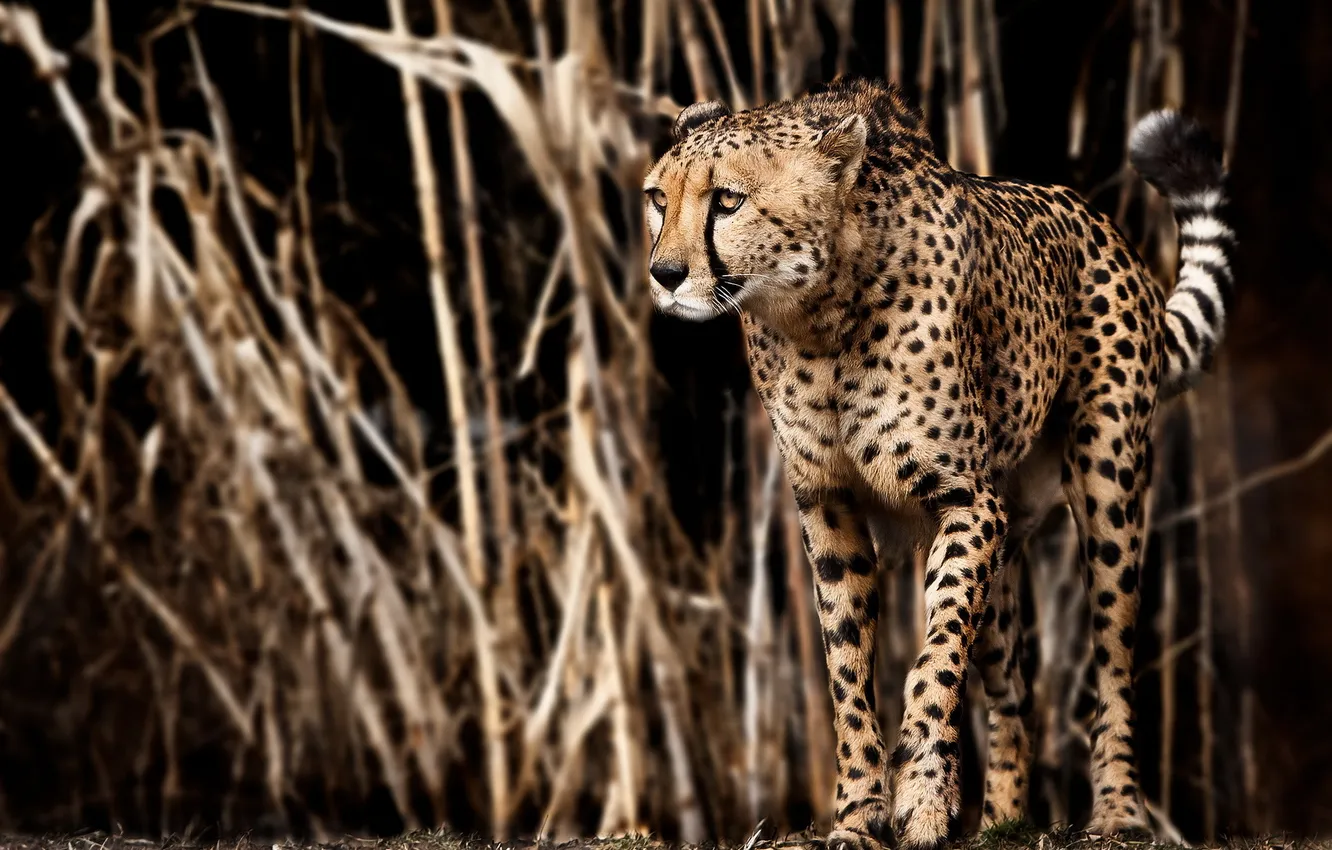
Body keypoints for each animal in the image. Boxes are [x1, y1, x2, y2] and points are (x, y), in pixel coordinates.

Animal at [642, 76, 1234, 850]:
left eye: (728, 200)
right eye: (659, 198)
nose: (665, 274)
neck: (819, 315)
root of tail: (1096, 220)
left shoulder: (965, 501)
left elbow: (936, 652)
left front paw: (921, 798)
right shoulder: (829, 510)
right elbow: (847, 672)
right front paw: (859, 815)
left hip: (1108, 494)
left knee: (1112, 661)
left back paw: (1117, 813)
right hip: (1008, 543)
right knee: (1015, 690)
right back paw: (1003, 821)